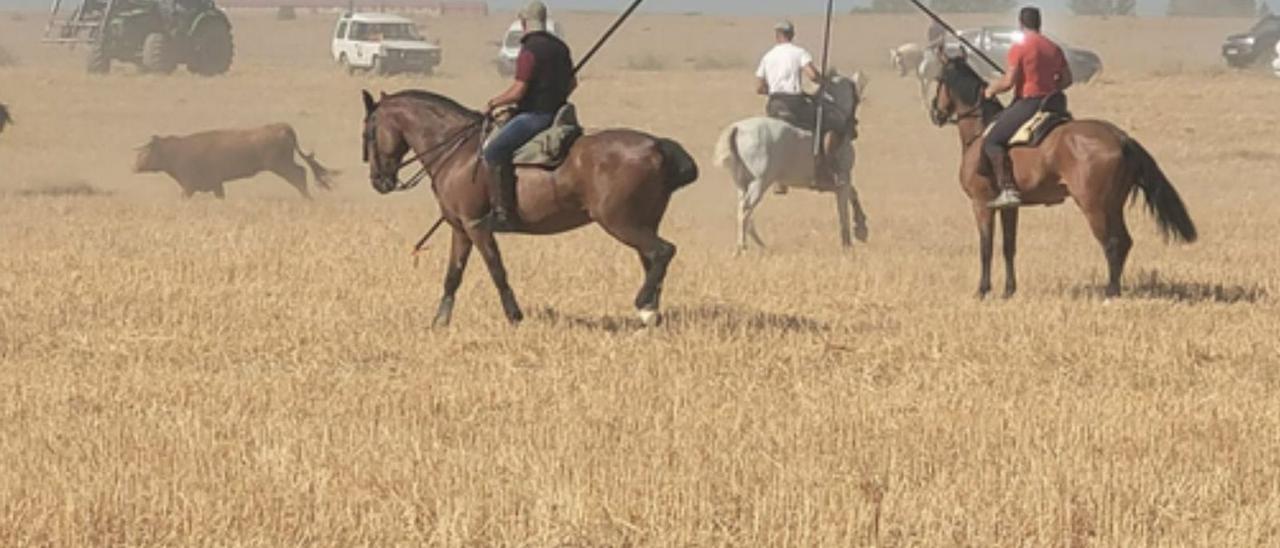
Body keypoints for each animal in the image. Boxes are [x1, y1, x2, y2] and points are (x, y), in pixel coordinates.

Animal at [133, 123, 335, 198]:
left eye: (146, 151)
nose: (134, 166)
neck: (177, 151)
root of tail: (282, 127)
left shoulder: (189, 185)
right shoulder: (216, 184)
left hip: (281, 165)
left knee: (299, 175)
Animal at [360, 89, 701, 325]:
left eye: (368, 132)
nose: (378, 181)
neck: (456, 151)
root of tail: (657, 146)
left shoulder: (476, 226)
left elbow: (497, 269)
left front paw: (514, 316)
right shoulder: (461, 228)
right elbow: (453, 275)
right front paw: (439, 322)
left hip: (620, 222)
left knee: (663, 251)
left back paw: (643, 304)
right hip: (642, 222)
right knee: (651, 260)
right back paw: (649, 314)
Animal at [711, 70, 870, 252]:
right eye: (856, 97)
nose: (854, 130)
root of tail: (738, 128)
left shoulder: (841, 181)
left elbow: (852, 196)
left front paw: (859, 230)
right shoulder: (843, 178)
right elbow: (845, 208)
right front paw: (853, 238)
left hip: (742, 183)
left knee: (744, 212)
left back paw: (762, 247)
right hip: (760, 183)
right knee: (745, 210)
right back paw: (741, 248)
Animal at [926, 56, 1192, 297]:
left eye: (939, 79)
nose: (935, 113)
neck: (981, 130)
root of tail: (1121, 137)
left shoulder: (981, 203)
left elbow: (986, 247)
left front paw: (982, 291)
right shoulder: (1009, 206)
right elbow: (1008, 246)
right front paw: (1009, 291)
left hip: (1094, 206)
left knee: (1112, 242)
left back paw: (1110, 293)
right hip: (1113, 205)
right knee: (1124, 241)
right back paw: (1114, 289)